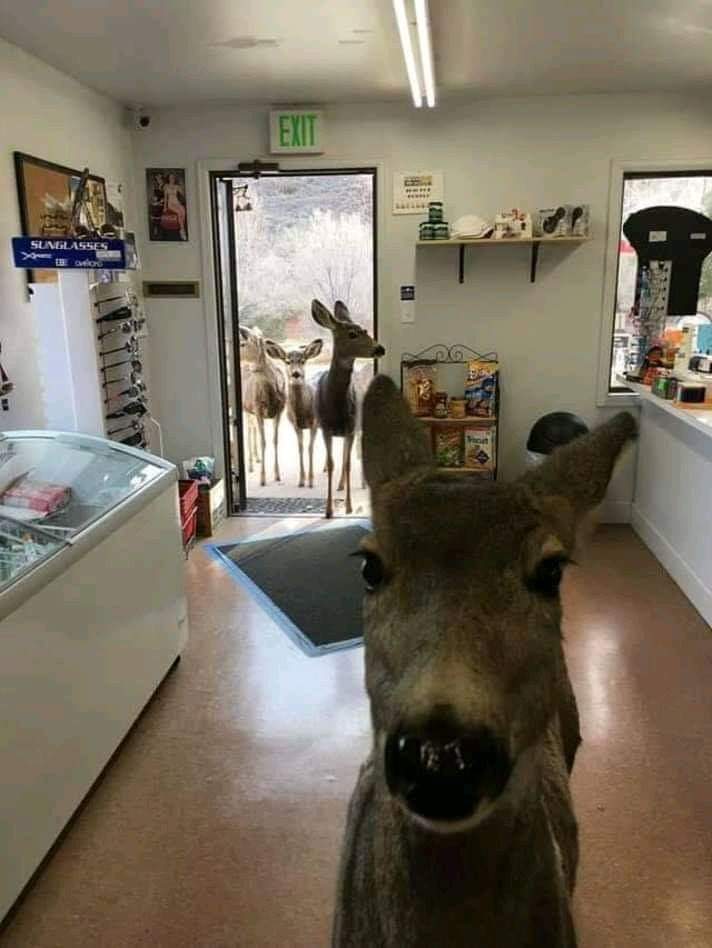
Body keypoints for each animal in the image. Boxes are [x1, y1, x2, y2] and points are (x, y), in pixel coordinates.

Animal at [238, 326, 286, 487]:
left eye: (243, 343)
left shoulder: (280, 411)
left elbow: (275, 440)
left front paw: (277, 475)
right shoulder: (257, 409)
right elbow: (263, 441)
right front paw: (262, 478)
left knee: (252, 428)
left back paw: (256, 457)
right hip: (246, 409)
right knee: (249, 430)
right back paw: (251, 464)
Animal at [263, 338, 324, 488]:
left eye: (303, 360)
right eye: (287, 361)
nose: (296, 374)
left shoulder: (314, 423)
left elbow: (310, 448)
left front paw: (311, 481)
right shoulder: (295, 425)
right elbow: (300, 448)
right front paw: (301, 480)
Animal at [310, 300, 384, 518]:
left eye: (365, 330)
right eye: (352, 334)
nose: (380, 348)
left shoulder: (351, 427)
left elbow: (349, 464)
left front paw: (349, 507)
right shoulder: (326, 428)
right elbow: (331, 464)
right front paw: (328, 510)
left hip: (357, 425)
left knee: (349, 456)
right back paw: (340, 486)